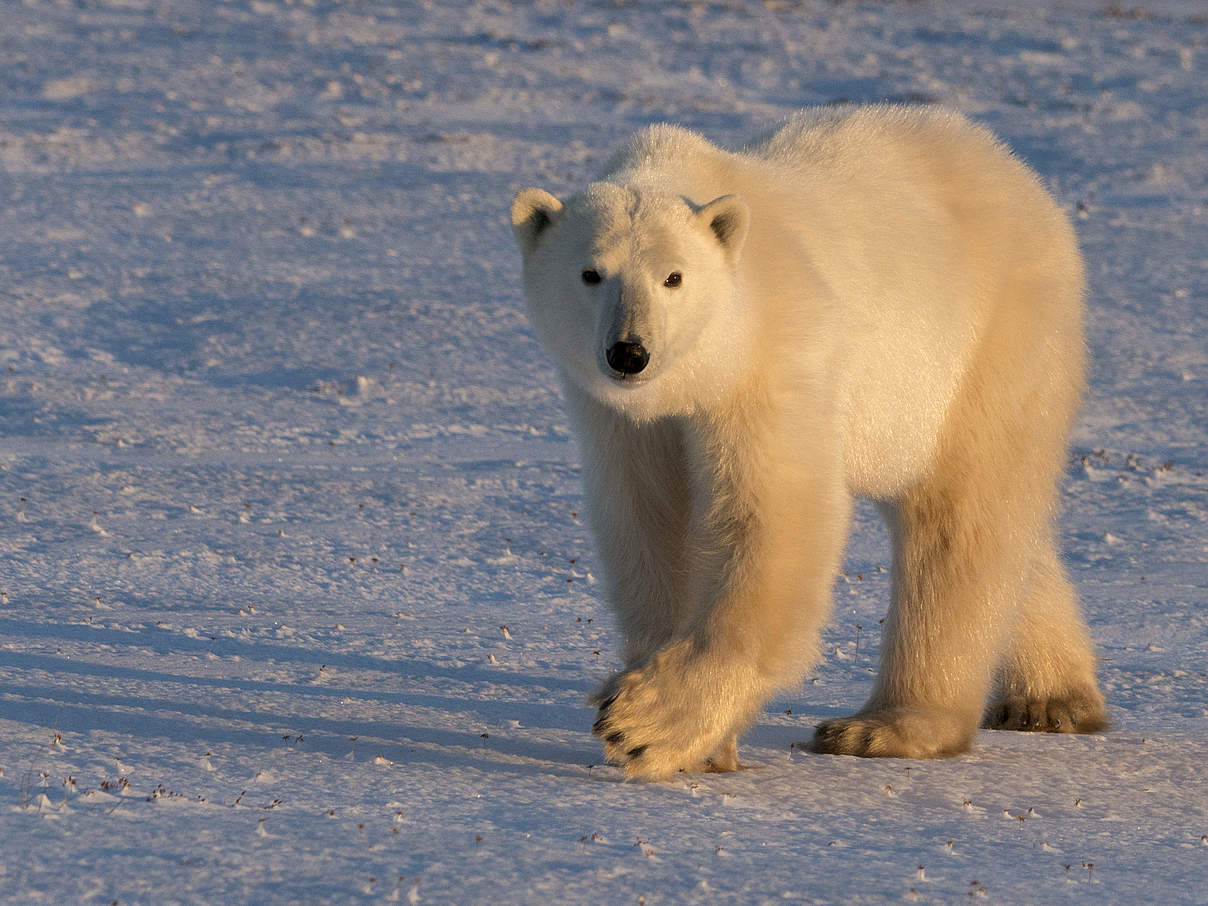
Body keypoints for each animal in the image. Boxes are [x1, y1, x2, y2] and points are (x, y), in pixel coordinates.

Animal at [509, 100, 1106, 782]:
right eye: (590, 273)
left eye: (673, 277)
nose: (629, 352)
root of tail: (1012, 168)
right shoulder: (627, 420)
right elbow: (654, 523)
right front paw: (699, 739)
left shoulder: (773, 353)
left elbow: (770, 519)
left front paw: (646, 725)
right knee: (1005, 531)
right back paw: (1051, 698)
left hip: (984, 342)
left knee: (959, 519)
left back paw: (884, 726)